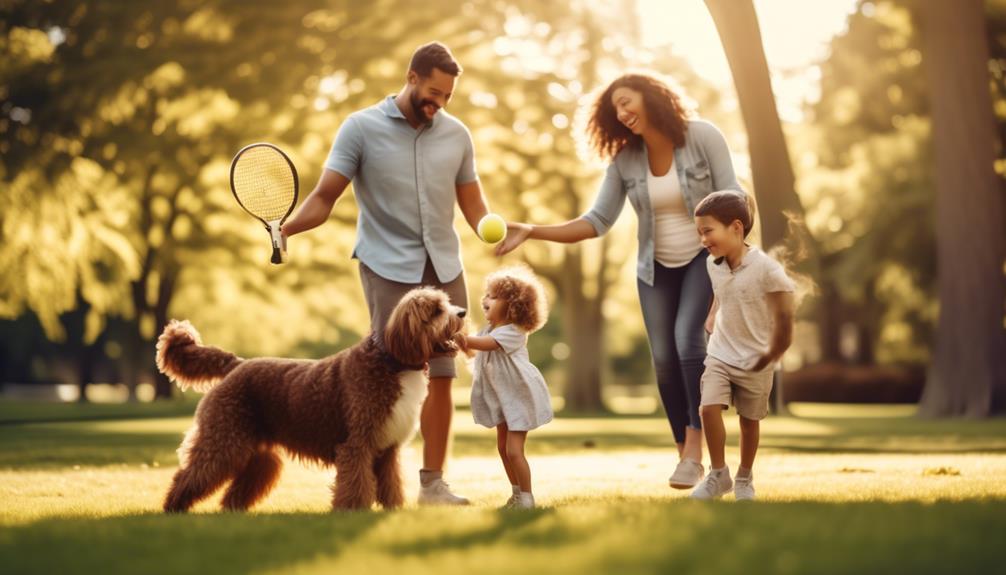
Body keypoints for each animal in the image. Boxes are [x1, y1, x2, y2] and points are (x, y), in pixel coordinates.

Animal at [154, 287, 464, 512]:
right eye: (436, 310)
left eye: (446, 303)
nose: (462, 312)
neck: (391, 362)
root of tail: (236, 365)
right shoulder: (356, 444)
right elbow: (356, 483)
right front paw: (353, 511)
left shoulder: (387, 449)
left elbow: (390, 484)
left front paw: (394, 510)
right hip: (222, 439)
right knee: (190, 475)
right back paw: (173, 508)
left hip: (258, 455)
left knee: (238, 488)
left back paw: (232, 513)